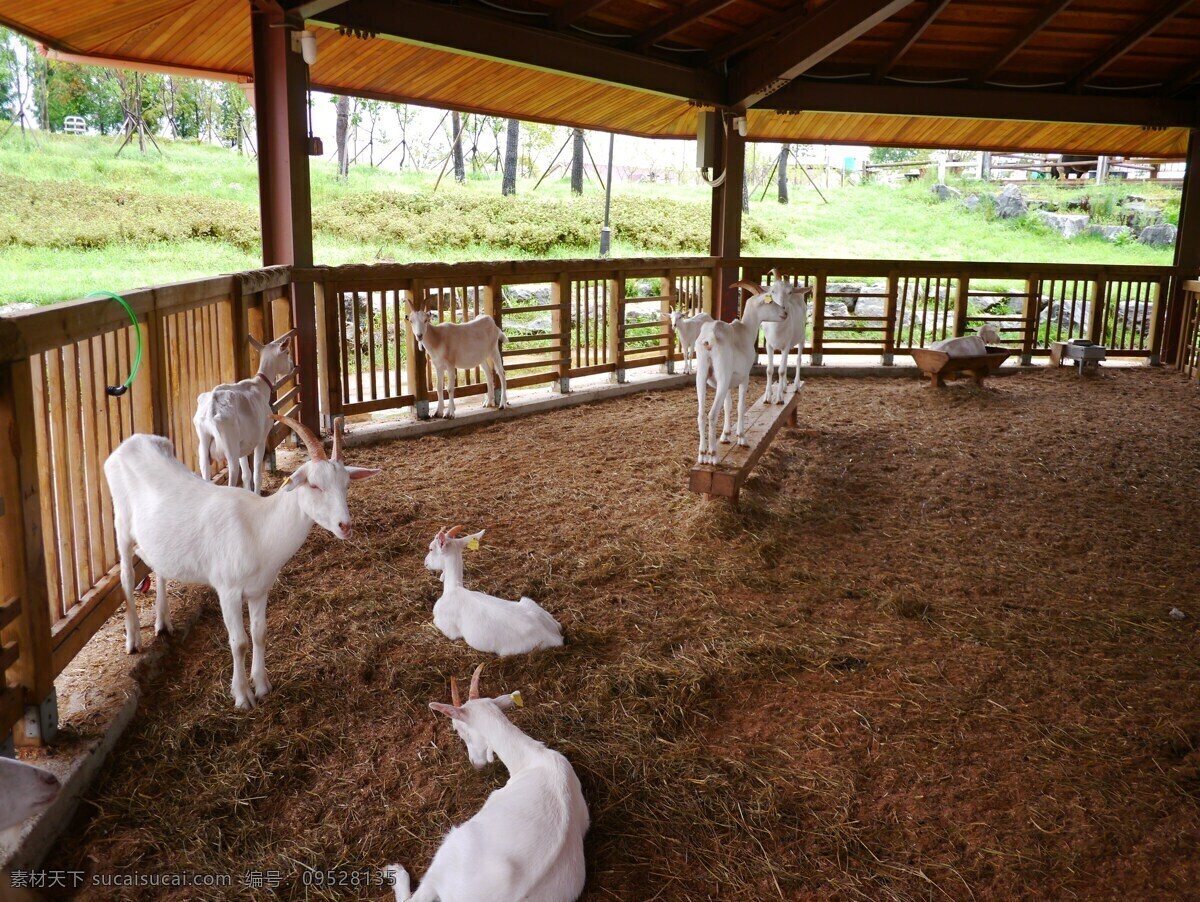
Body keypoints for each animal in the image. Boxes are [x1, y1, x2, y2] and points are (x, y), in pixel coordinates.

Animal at [108, 419, 381, 710]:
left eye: (346, 485)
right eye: (315, 485)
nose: (345, 526)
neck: (258, 529)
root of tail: (131, 442)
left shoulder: (260, 589)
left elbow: (259, 633)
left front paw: (262, 685)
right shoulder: (227, 590)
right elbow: (238, 642)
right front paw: (242, 696)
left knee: (157, 567)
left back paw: (163, 622)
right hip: (121, 525)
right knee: (126, 575)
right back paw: (134, 639)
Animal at [696, 281, 787, 465]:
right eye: (770, 300)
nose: (785, 313)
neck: (746, 330)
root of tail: (709, 339)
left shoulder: (729, 383)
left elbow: (728, 406)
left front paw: (725, 436)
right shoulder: (744, 377)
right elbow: (740, 406)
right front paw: (741, 437)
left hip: (702, 378)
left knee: (701, 415)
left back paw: (702, 454)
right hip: (722, 378)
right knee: (711, 415)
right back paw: (713, 455)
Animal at [758, 271, 816, 405]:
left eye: (789, 292)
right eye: (772, 291)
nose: (782, 308)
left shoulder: (786, 344)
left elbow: (782, 370)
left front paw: (779, 398)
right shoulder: (769, 345)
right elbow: (770, 370)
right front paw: (767, 396)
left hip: (801, 337)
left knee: (798, 359)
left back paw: (796, 386)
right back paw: (784, 386)